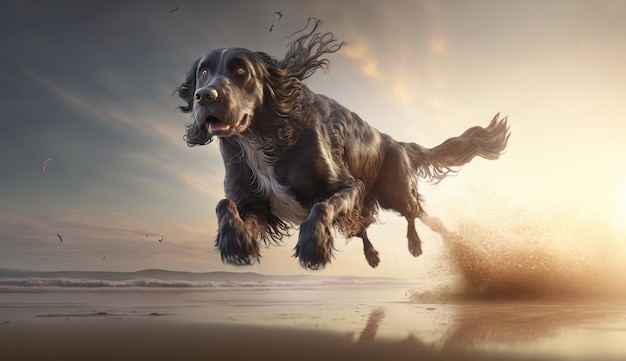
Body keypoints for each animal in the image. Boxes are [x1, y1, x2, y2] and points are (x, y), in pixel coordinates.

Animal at [176, 19, 508, 268]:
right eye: (203, 72)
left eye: (241, 71)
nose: (204, 96)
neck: (262, 138)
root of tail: (396, 141)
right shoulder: (256, 206)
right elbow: (224, 204)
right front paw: (236, 244)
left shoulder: (348, 187)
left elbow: (321, 205)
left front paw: (313, 248)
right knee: (363, 227)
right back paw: (372, 256)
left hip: (396, 191)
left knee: (417, 213)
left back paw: (424, 242)